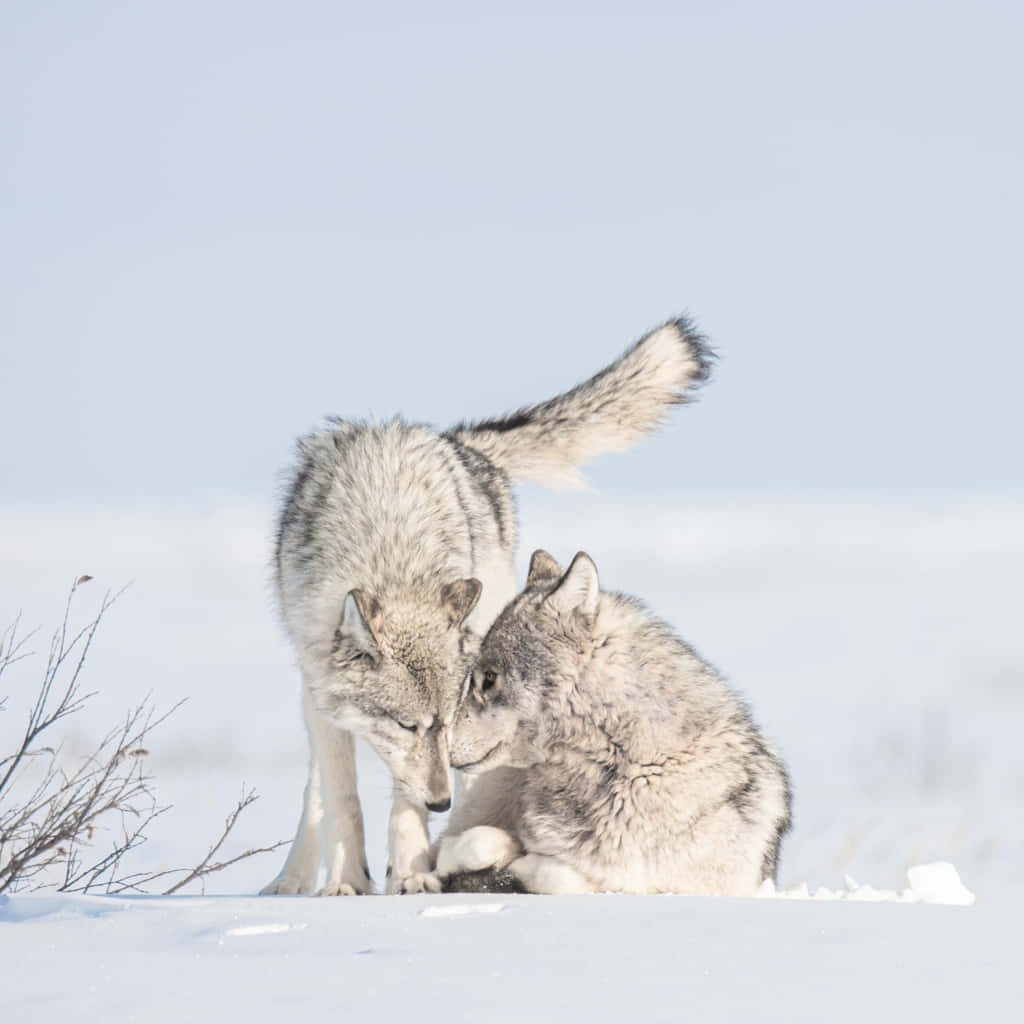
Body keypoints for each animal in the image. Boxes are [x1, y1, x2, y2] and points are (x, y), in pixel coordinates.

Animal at [261, 318, 713, 896]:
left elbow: (404, 801)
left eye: (447, 718)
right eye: (407, 724)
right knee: (317, 788)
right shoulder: (325, 693)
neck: (391, 554)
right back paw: (292, 877)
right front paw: (346, 881)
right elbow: (343, 797)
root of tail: (458, 441)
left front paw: (412, 872)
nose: (441, 800)